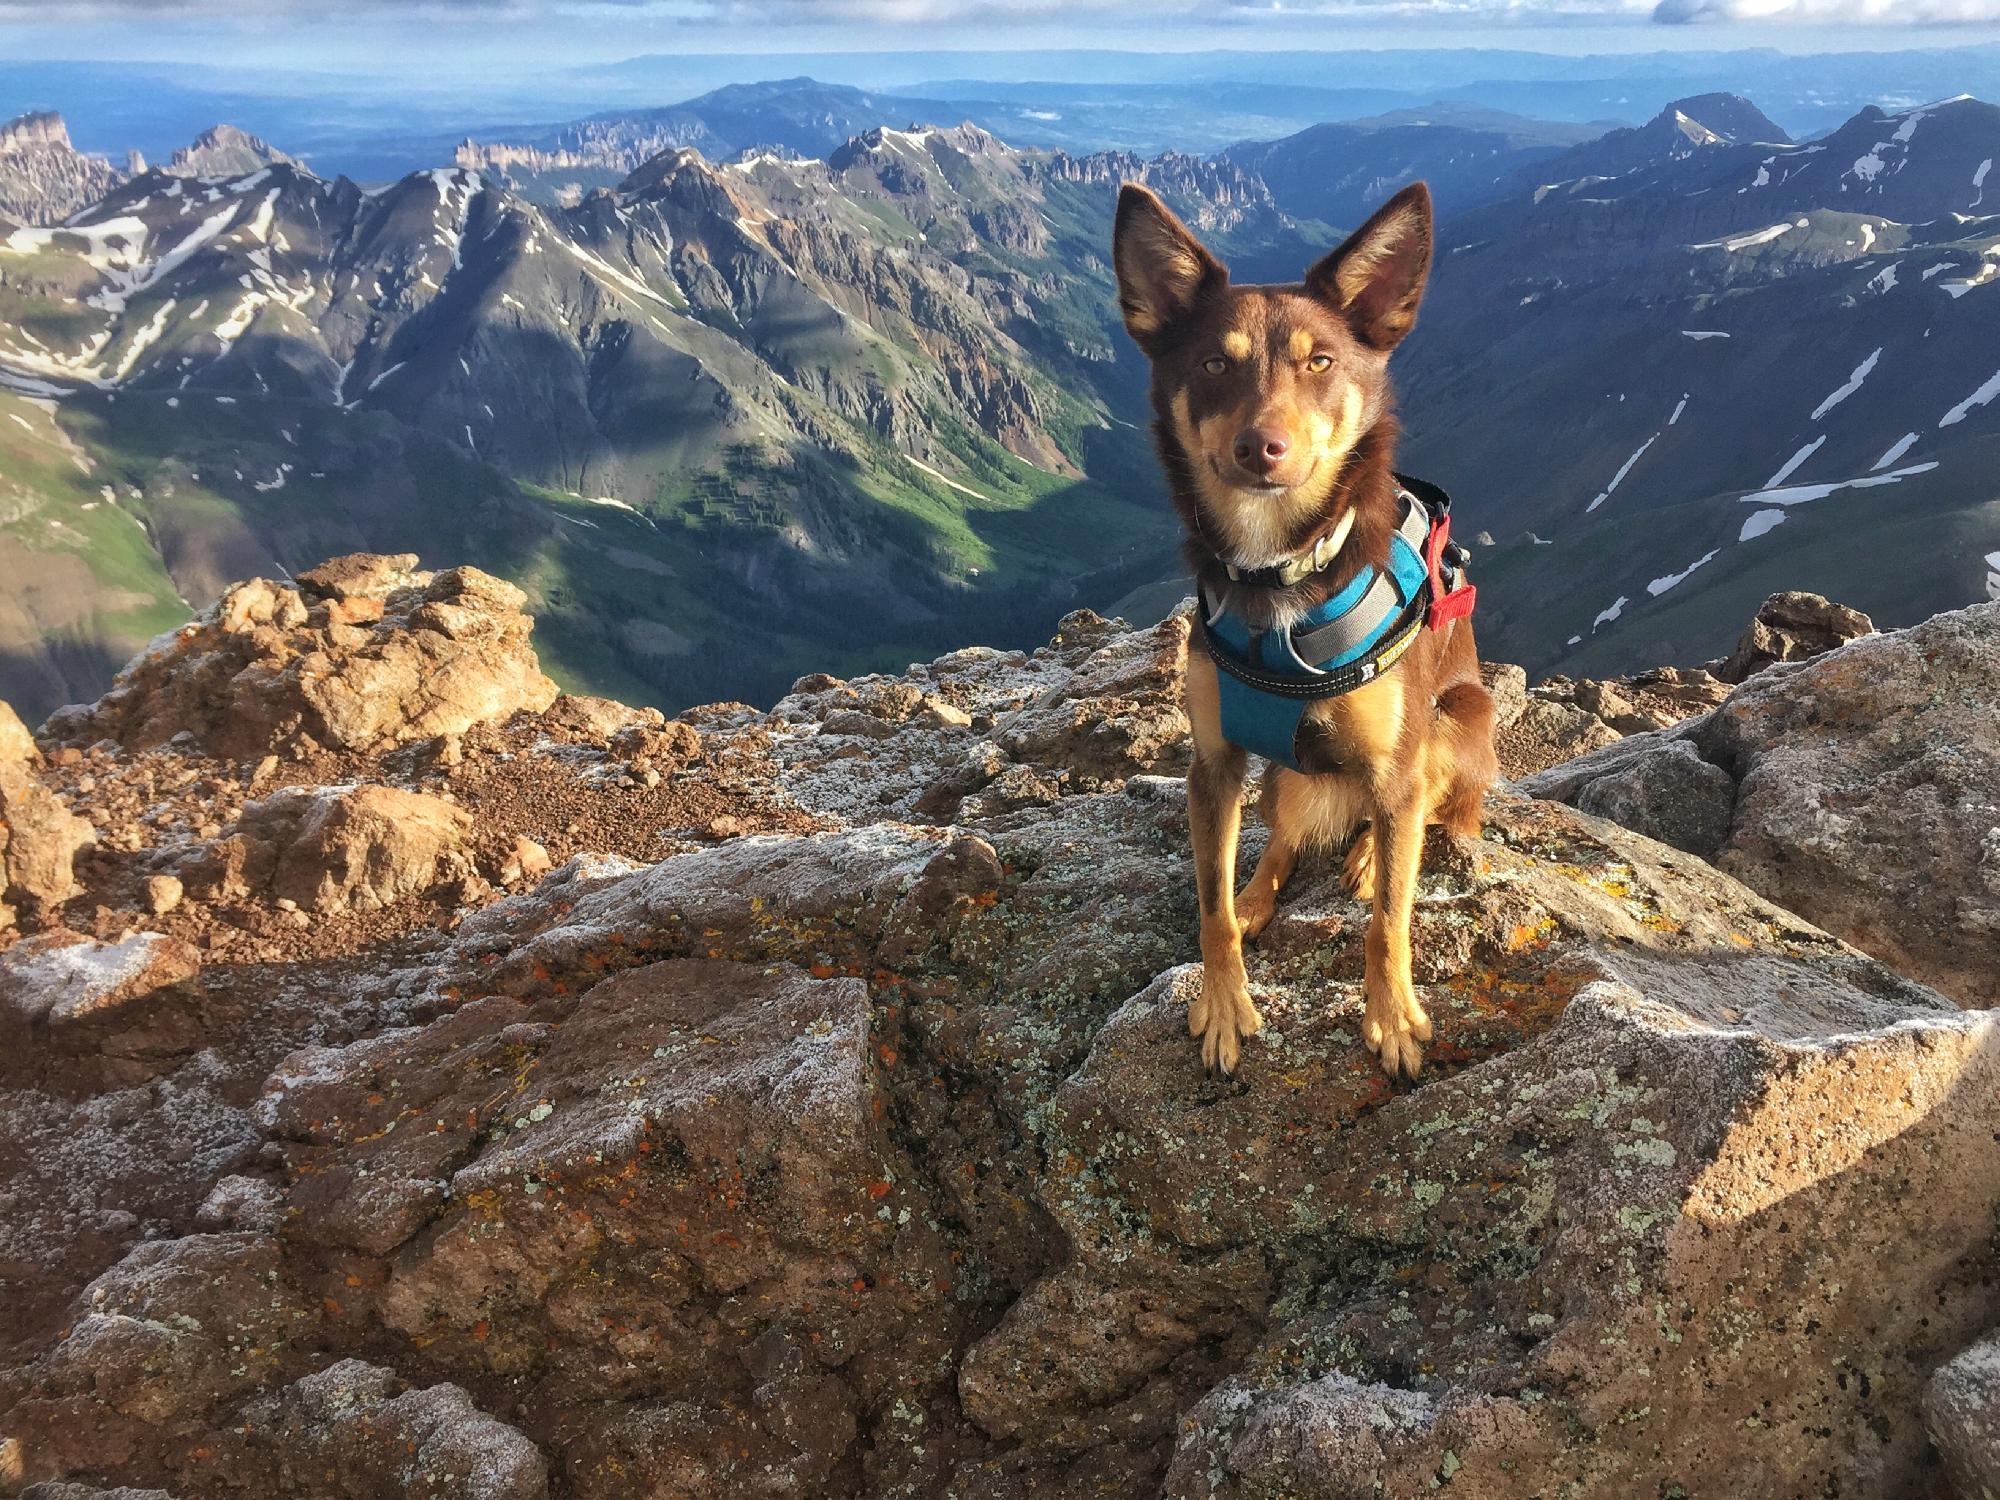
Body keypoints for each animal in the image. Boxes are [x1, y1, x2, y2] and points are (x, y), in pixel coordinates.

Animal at [1120, 179, 1496, 1080]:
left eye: (1319, 361)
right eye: (1213, 364)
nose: (1263, 447)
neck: (1278, 575)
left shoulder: (1396, 765)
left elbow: (1389, 920)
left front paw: (1393, 1019)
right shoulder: (1213, 766)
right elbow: (1211, 909)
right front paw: (1225, 1005)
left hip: (1462, 717)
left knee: (1433, 811)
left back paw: (1365, 853)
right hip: (1285, 777)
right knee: (1282, 839)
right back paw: (1262, 890)